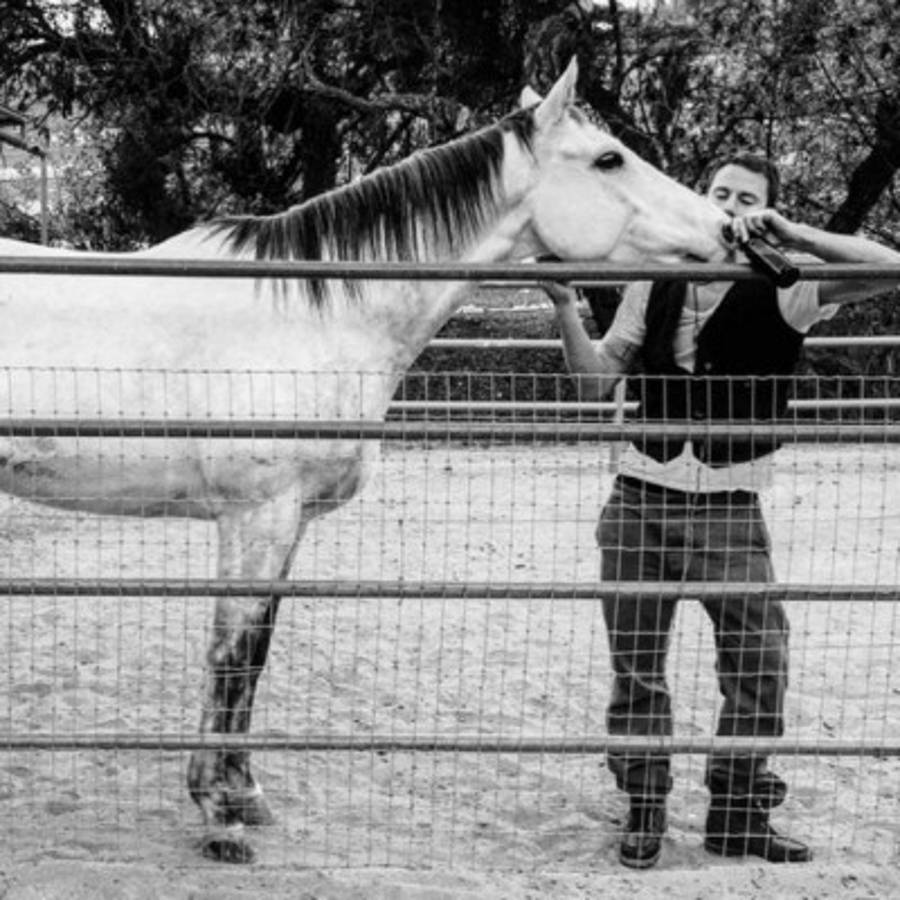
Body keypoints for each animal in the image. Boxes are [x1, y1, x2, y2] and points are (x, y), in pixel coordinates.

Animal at [0, 59, 728, 862]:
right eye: (608, 159)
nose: (726, 228)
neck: (311, 318)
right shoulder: (257, 518)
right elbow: (231, 653)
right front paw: (217, 818)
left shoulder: (289, 525)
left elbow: (257, 655)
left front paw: (246, 795)